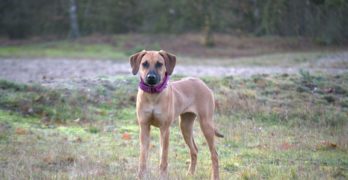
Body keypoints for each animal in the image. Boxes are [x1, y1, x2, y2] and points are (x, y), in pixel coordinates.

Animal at [130, 50, 223, 179]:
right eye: (144, 64)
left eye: (159, 64)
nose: (151, 77)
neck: (153, 95)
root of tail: (202, 83)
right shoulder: (144, 127)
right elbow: (143, 157)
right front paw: (141, 175)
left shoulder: (165, 129)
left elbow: (163, 158)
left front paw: (163, 176)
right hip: (185, 126)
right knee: (194, 150)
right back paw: (190, 174)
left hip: (206, 125)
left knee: (214, 154)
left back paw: (215, 176)